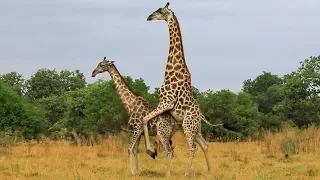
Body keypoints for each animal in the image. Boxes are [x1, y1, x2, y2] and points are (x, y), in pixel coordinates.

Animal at [142, 2, 222, 176]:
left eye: (160, 11)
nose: (149, 17)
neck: (171, 70)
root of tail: (200, 115)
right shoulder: (163, 105)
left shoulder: (165, 102)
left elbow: (145, 118)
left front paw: (150, 150)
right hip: (195, 128)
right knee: (204, 144)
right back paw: (210, 171)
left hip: (188, 125)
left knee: (193, 147)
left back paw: (187, 173)